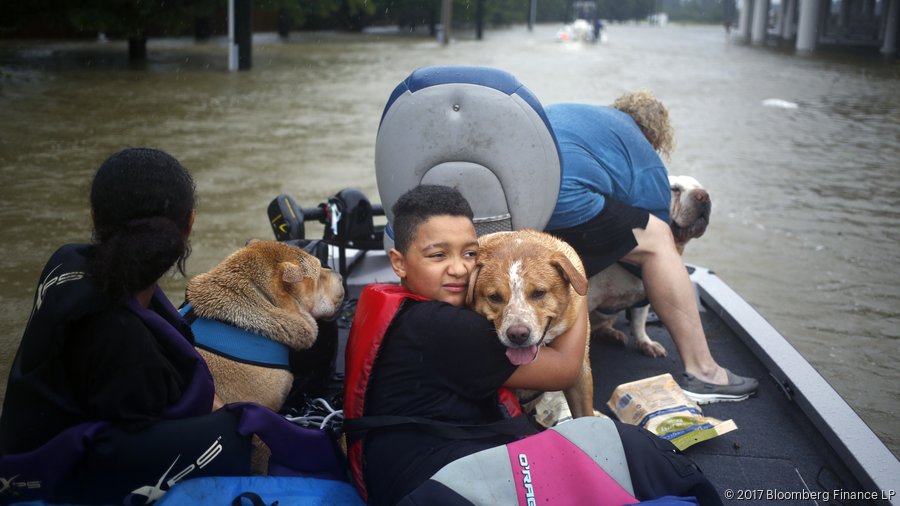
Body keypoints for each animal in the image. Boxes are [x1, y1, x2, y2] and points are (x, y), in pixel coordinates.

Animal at [592, 176, 712, 358]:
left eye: (701, 188)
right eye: (674, 189)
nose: (703, 196)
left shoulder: (643, 298)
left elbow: (638, 322)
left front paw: (645, 342)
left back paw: (611, 334)